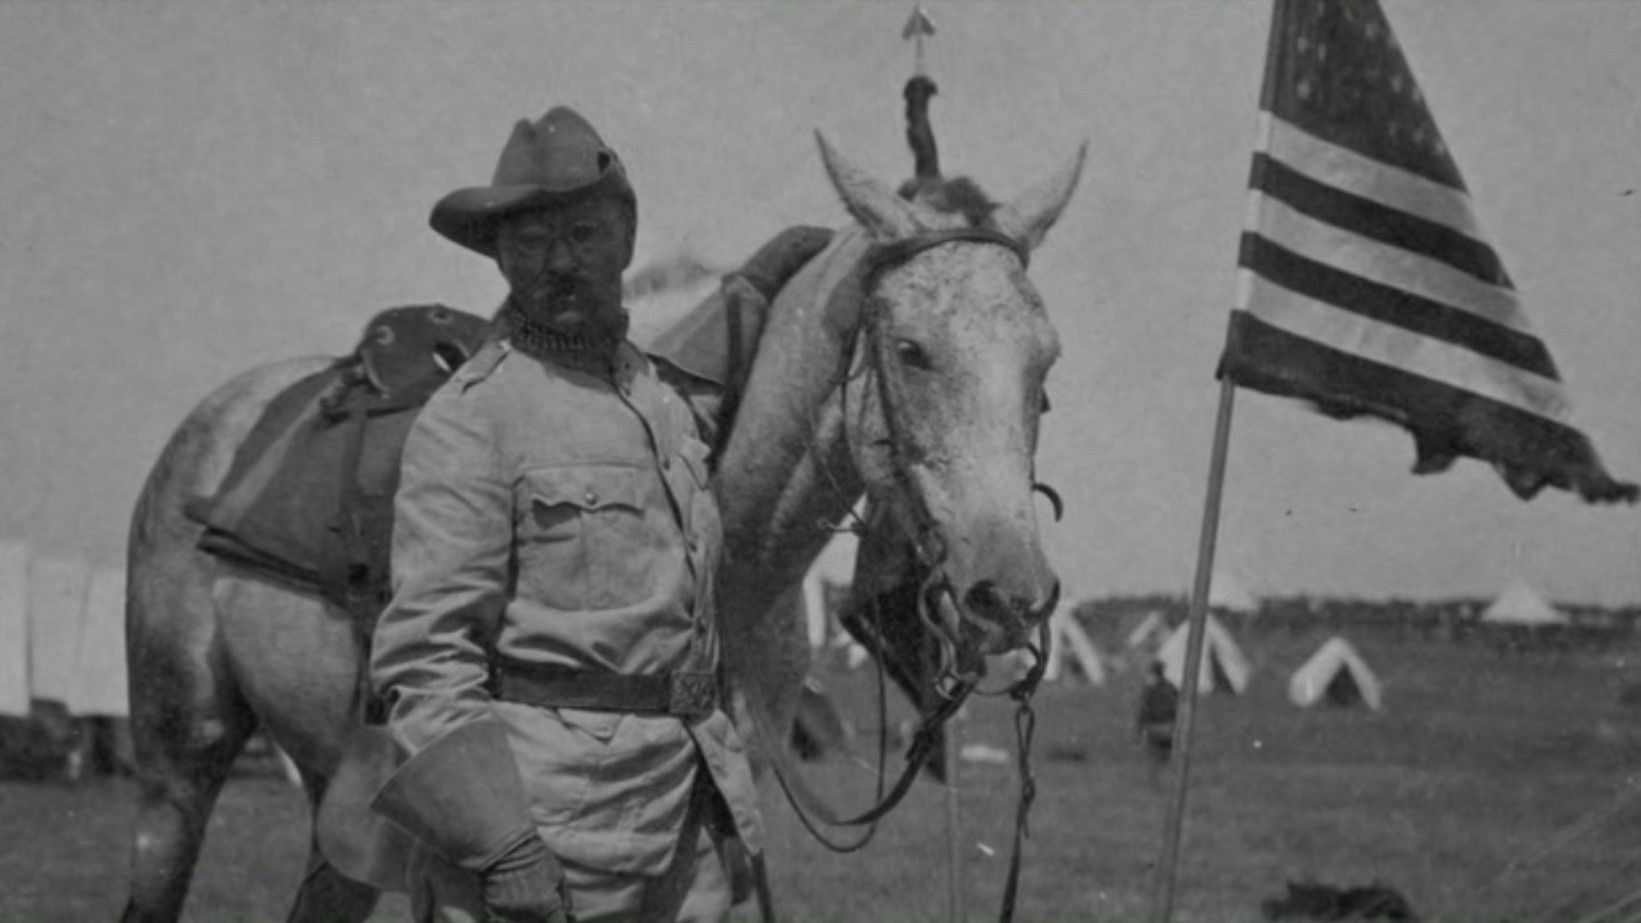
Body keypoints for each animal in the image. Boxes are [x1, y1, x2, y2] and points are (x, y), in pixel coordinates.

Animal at [119, 133, 1084, 923]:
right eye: (912, 350)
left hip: (336, 796)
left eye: (1044, 364)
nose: (1011, 595)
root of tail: (218, 422)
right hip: (178, 765)